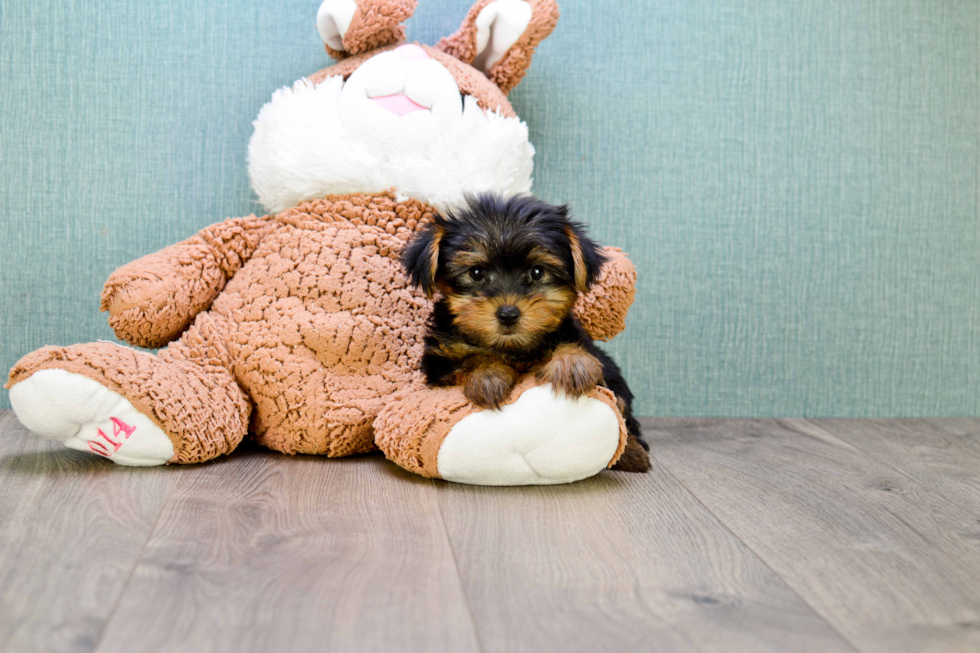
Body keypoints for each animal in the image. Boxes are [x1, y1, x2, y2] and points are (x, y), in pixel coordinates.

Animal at [398, 191, 652, 472]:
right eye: (476, 272)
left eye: (537, 271)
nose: (508, 314)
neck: (511, 347)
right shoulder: (440, 363)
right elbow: (470, 358)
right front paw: (488, 375)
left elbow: (571, 348)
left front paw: (572, 363)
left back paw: (633, 452)